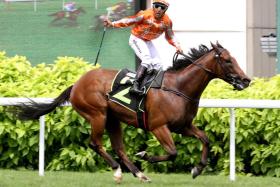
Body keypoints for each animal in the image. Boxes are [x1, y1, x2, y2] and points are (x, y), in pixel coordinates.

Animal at [13, 42, 250, 183]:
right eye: (227, 60)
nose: (246, 80)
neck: (178, 87)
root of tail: (76, 84)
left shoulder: (183, 126)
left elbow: (206, 139)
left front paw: (197, 169)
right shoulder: (158, 127)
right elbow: (173, 152)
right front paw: (145, 154)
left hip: (112, 119)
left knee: (119, 147)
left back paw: (139, 173)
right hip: (97, 115)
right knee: (95, 144)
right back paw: (118, 170)